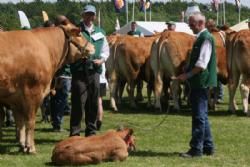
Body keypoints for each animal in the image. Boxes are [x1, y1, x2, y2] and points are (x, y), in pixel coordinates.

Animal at [0, 20, 94, 153]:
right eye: (79, 34)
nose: (92, 47)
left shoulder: (16, 98)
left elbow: (20, 122)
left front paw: (22, 144)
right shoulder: (33, 92)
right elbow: (30, 121)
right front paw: (31, 147)